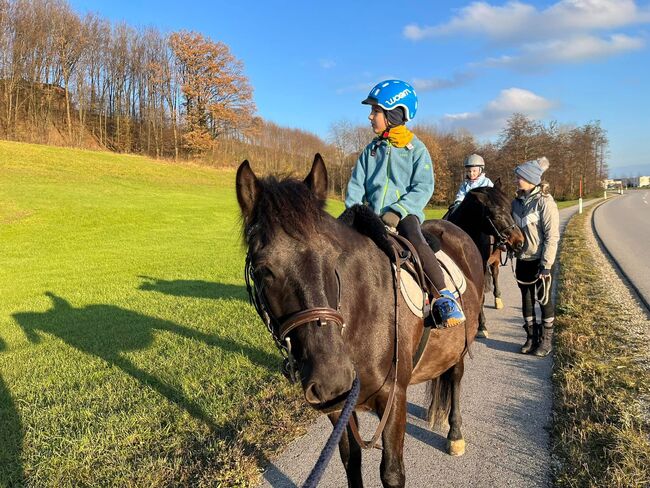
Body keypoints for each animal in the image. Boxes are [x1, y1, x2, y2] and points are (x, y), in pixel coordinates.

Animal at [235, 155, 484, 488]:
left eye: (333, 258)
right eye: (262, 269)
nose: (333, 377)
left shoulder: (394, 400)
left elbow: (392, 472)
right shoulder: (338, 407)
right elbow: (350, 460)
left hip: (461, 343)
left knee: (455, 376)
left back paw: (454, 434)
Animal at [442, 181, 524, 338]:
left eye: (510, 210)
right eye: (496, 215)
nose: (519, 241)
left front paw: (481, 326)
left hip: (495, 261)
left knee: (495, 274)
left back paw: (498, 299)